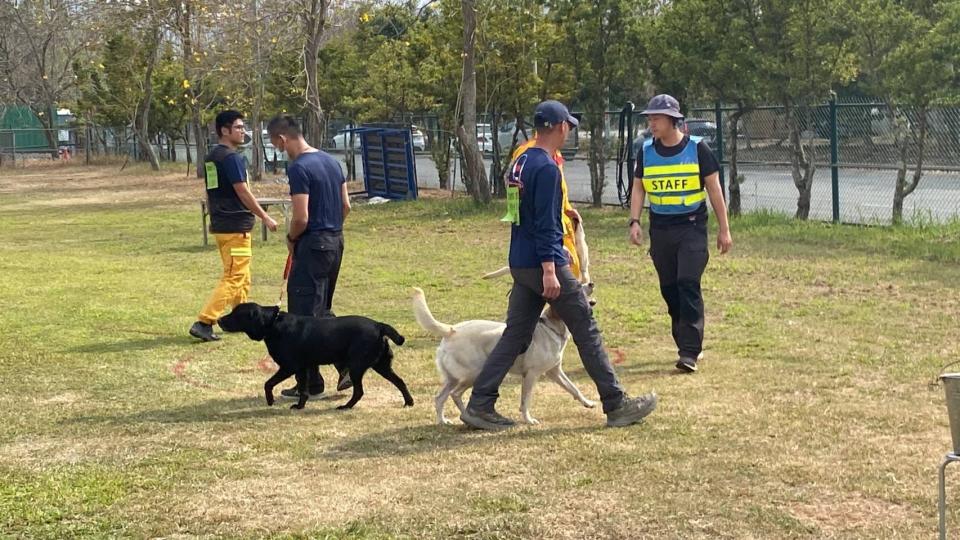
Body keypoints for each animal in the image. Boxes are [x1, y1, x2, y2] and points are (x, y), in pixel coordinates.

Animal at [219, 304, 414, 410]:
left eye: (236, 314)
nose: (219, 320)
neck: (273, 323)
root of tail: (379, 325)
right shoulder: (303, 368)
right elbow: (304, 390)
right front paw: (299, 406)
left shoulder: (289, 367)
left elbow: (268, 383)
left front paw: (270, 400)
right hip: (381, 365)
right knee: (400, 381)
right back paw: (409, 402)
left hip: (356, 366)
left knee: (359, 391)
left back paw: (345, 407)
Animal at [410, 286, 596, 426]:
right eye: (578, 286)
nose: (591, 283)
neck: (551, 328)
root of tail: (452, 330)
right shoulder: (531, 374)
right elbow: (525, 401)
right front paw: (528, 420)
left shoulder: (555, 372)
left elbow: (574, 388)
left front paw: (588, 403)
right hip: (474, 374)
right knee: (455, 395)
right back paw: (471, 418)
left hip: (453, 378)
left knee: (440, 398)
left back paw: (444, 421)